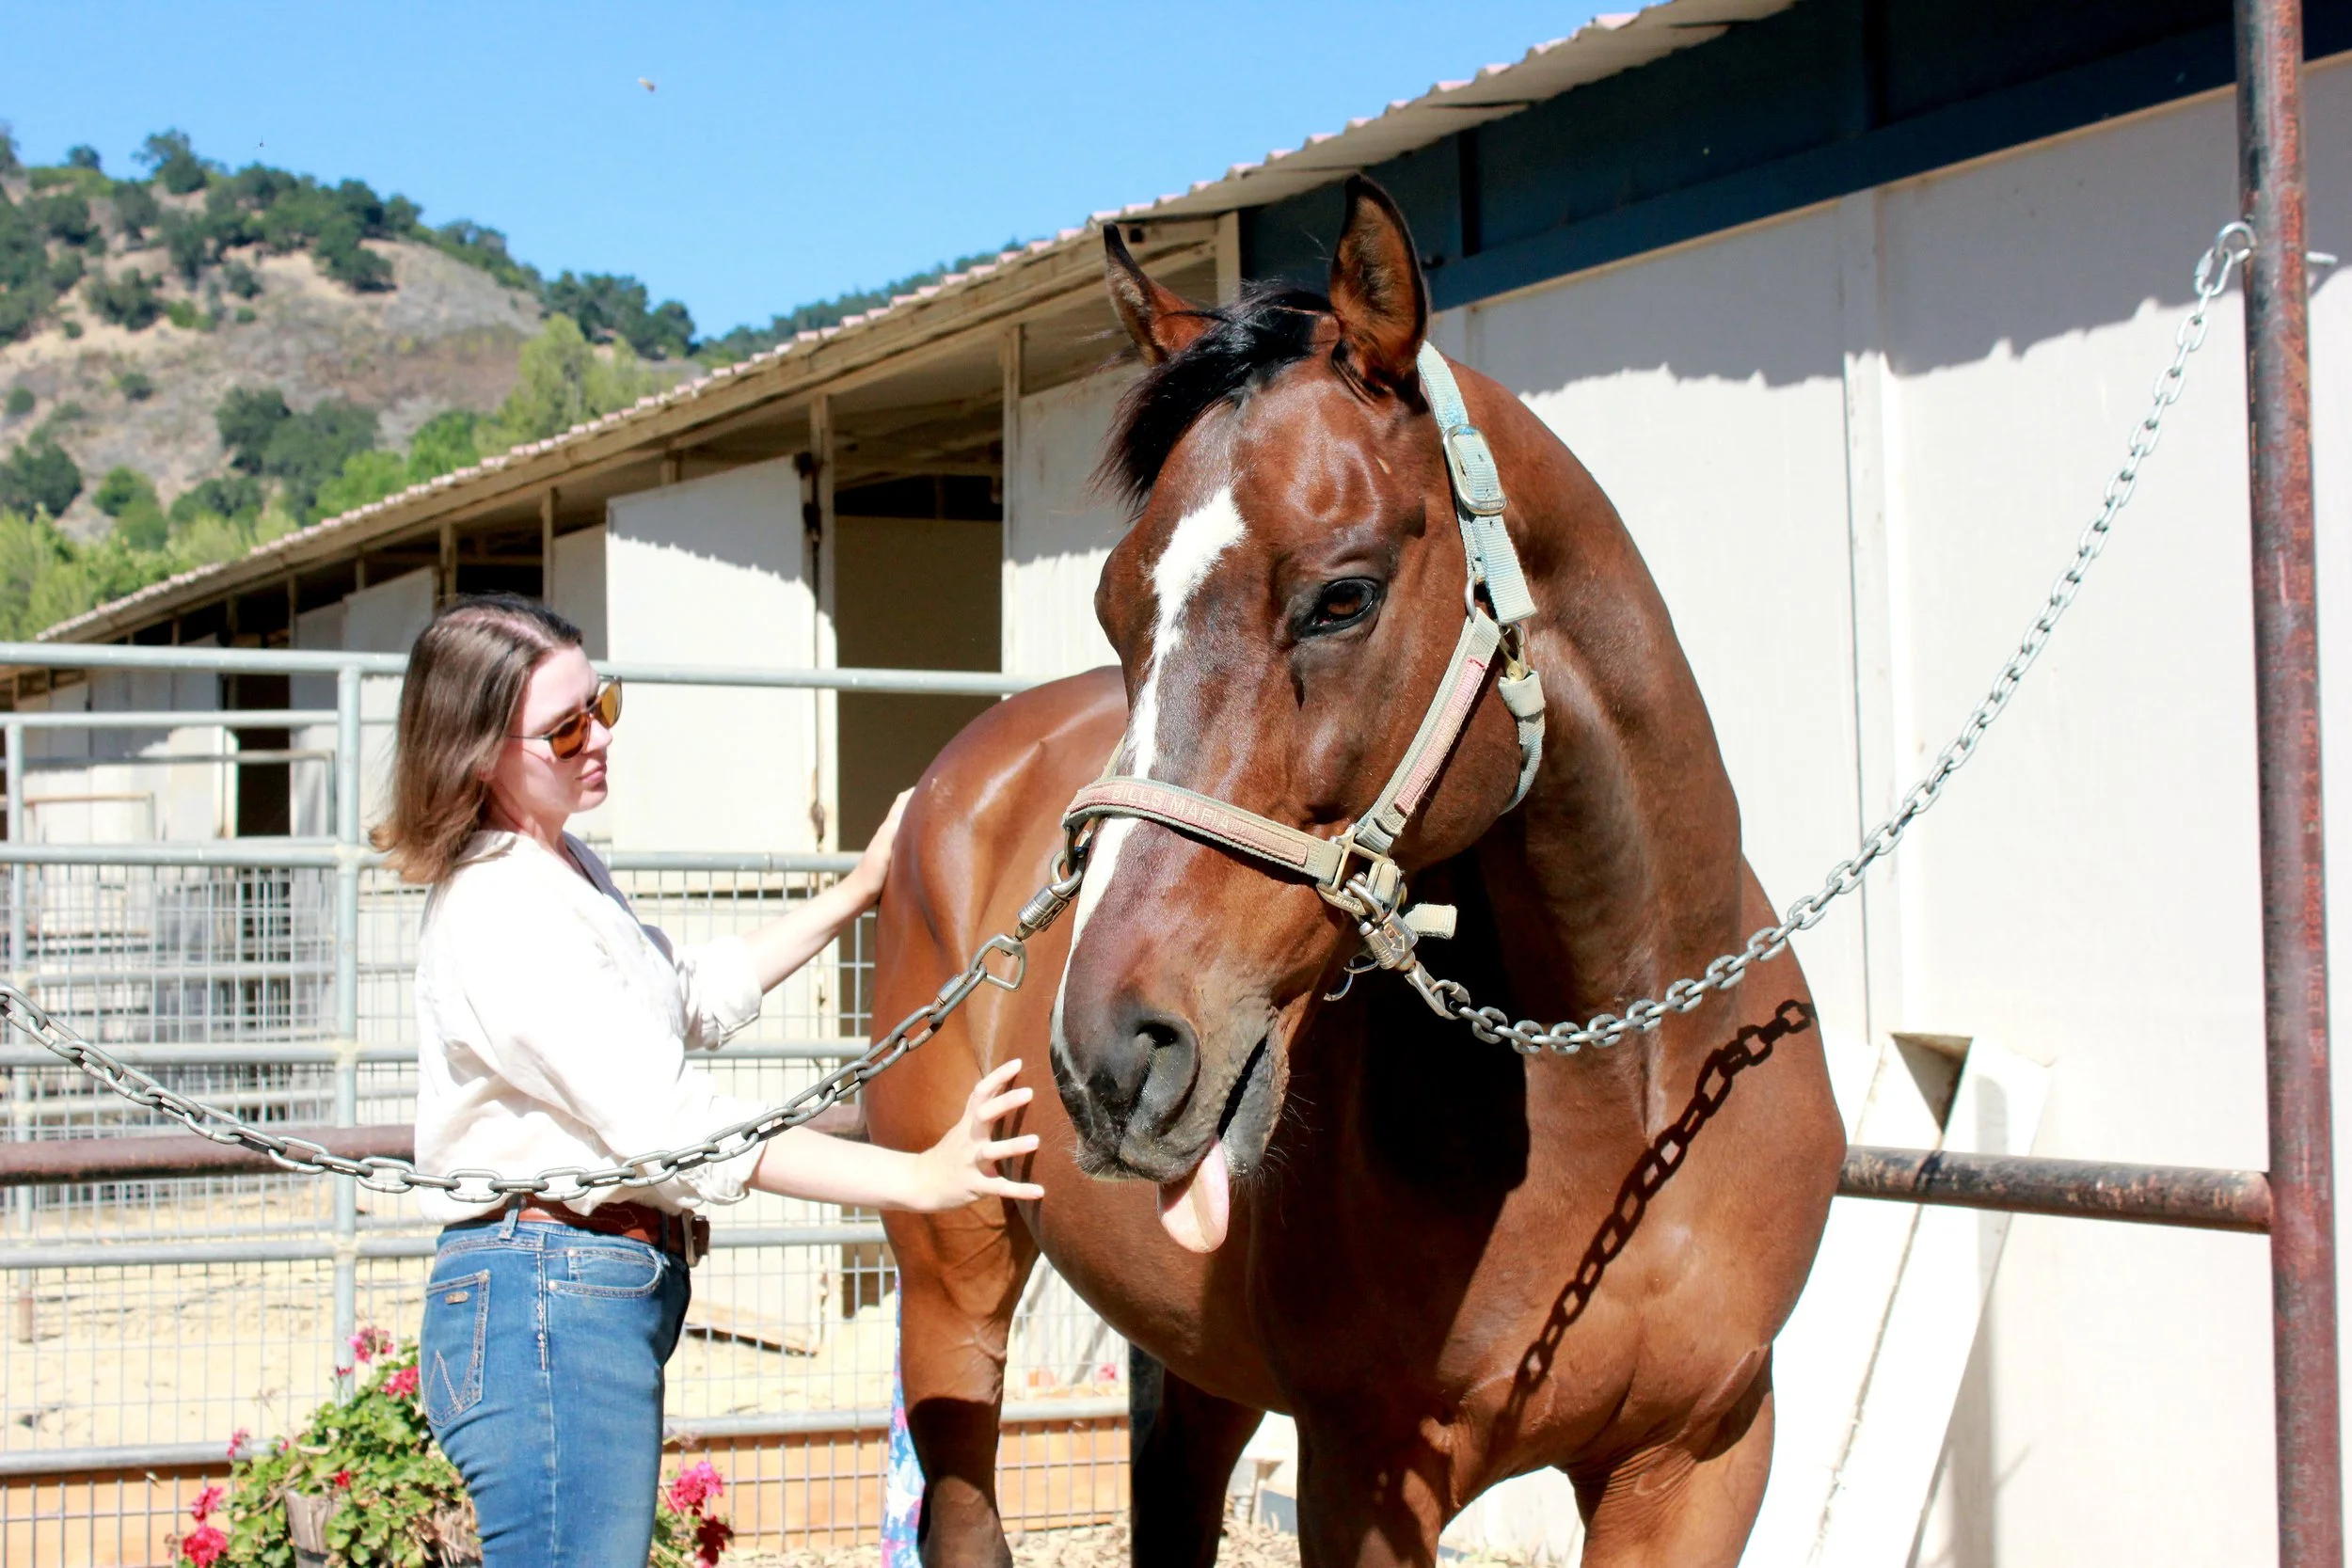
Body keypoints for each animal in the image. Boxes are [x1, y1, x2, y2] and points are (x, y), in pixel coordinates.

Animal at [864, 175, 1846, 1568]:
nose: (1107, 1054)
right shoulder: (1364, 1472)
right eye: (1115, 610)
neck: (1633, 1086)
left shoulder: (1700, 1457)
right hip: (951, 1272)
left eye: (1343, 596)